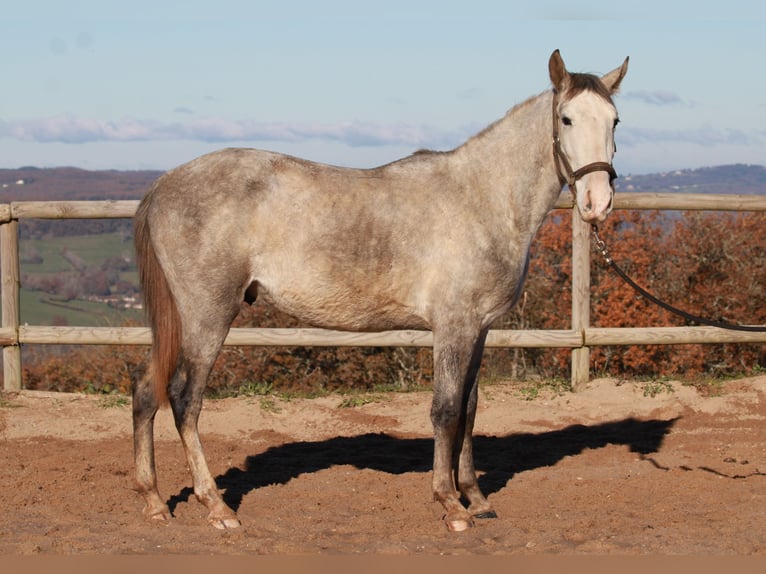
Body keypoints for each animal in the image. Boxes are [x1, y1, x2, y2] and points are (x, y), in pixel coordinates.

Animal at [134, 51, 632, 532]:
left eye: (614, 120)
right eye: (566, 118)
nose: (597, 202)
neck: (481, 198)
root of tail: (164, 184)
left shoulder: (479, 329)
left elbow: (470, 409)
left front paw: (476, 498)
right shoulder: (452, 327)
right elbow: (445, 410)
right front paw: (450, 504)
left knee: (145, 392)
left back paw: (155, 502)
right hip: (208, 316)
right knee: (184, 400)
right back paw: (217, 507)